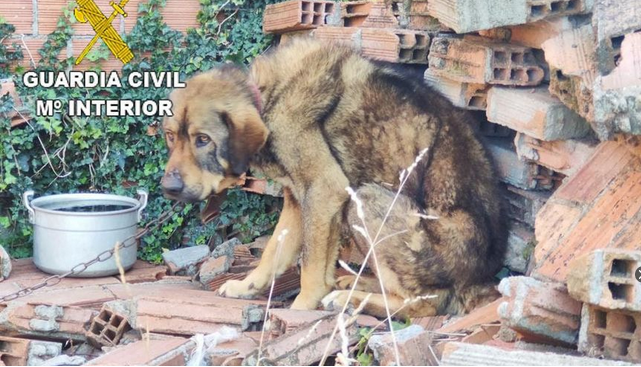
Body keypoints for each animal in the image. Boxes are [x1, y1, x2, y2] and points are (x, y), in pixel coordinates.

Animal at [162, 38, 508, 320]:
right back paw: (356, 284)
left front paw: (302, 307)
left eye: (203, 140)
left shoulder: (323, 190)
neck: (268, 96)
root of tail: (479, 280)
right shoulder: (297, 201)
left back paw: (350, 299)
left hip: (365, 201)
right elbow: (274, 253)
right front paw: (248, 286)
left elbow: (310, 267)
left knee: (423, 304)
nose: (169, 188)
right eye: (170, 136)